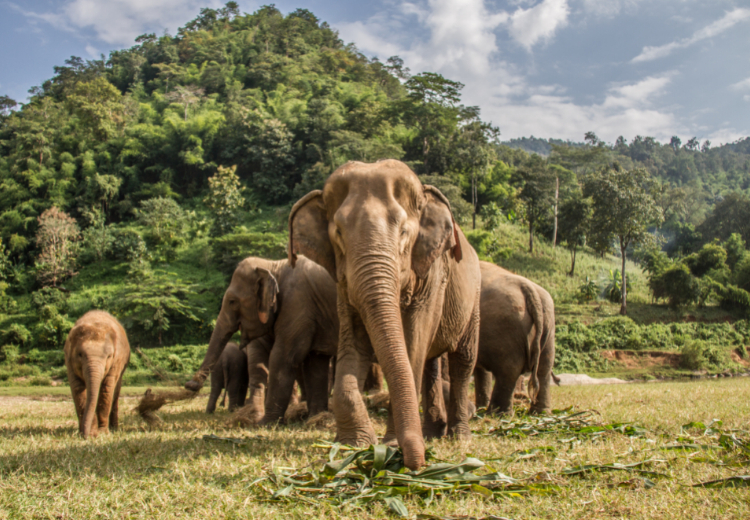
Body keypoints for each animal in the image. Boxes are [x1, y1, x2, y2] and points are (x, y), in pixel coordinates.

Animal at [64, 310, 131, 440]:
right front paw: (90, 433)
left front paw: (102, 433)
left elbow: (107, 389)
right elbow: (78, 389)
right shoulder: (69, 361)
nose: (85, 436)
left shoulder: (116, 361)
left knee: (115, 391)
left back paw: (114, 429)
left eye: (109, 356)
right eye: (80, 354)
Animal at [187, 254, 340, 424]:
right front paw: (315, 418)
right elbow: (315, 363)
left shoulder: (298, 305)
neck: (273, 265)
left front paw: (264, 423)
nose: (191, 384)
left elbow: (282, 358)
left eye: (232, 301)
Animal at [288, 159, 482, 472]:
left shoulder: (432, 275)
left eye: (403, 231)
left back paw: (459, 437)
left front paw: (389, 444)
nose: (417, 464)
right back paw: (431, 433)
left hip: (473, 297)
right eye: (338, 233)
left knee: (463, 359)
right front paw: (352, 444)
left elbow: (413, 342)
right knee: (431, 363)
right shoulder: (343, 284)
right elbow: (354, 341)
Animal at [476, 262, 560, 416]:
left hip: (506, 327)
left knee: (508, 370)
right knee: (544, 368)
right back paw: (540, 413)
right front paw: (479, 407)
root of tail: (530, 290)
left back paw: (497, 414)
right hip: (549, 325)